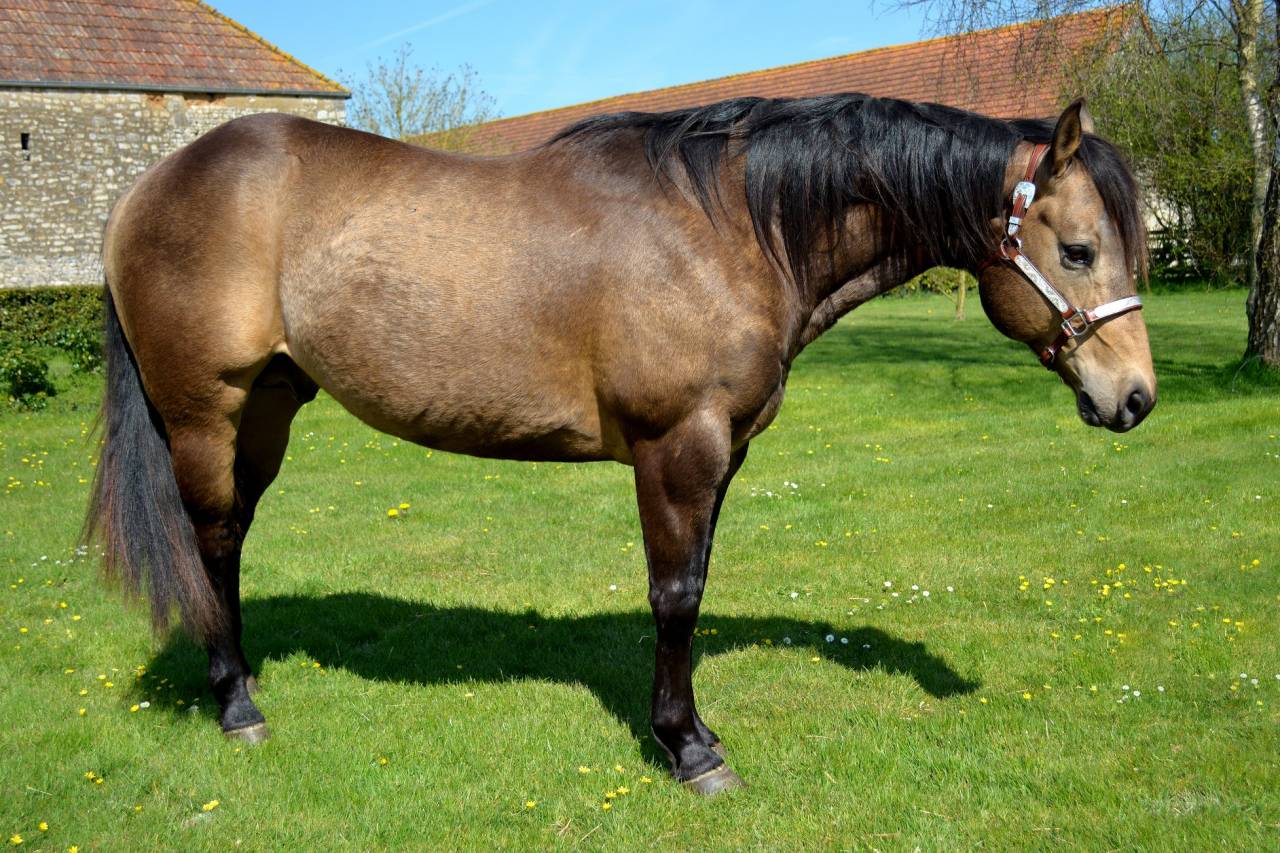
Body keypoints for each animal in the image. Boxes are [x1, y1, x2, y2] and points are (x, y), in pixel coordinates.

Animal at [86, 93, 1155, 795]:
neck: (730, 227)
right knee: (211, 539)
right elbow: (675, 595)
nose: (1135, 398)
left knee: (230, 540)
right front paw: (689, 748)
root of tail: (145, 189)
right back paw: (237, 705)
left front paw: (690, 729)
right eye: (1077, 251)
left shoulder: (723, 452)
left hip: (270, 404)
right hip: (205, 412)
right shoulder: (675, 446)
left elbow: (695, 584)